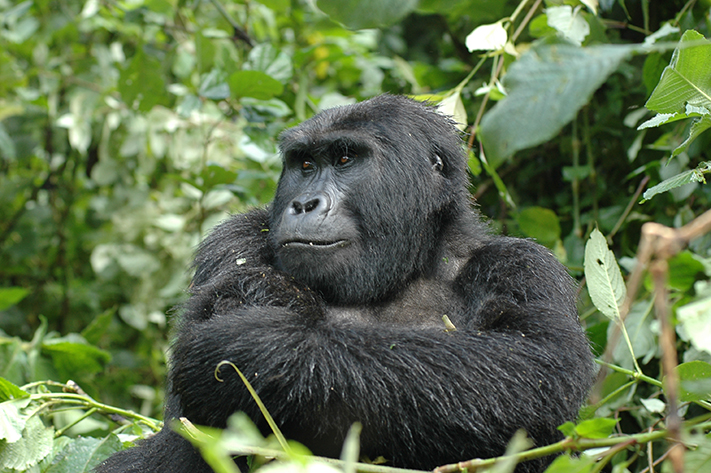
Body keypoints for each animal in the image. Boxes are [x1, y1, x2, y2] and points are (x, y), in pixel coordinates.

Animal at [96, 95, 596, 472]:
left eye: (344, 159)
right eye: (304, 164)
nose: (304, 203)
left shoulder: (524, 266)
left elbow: (536, 365)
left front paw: (262, 350)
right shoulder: (231, 239)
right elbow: (192, 435)